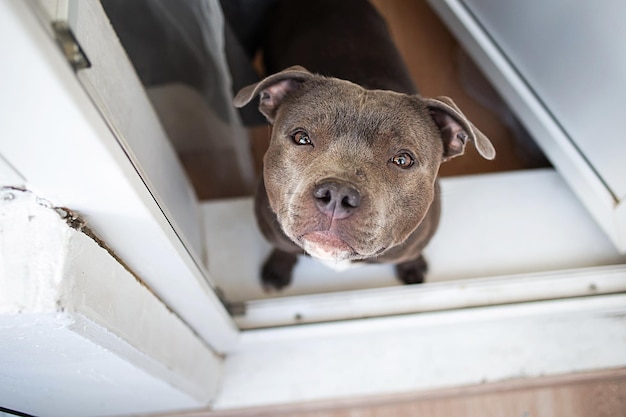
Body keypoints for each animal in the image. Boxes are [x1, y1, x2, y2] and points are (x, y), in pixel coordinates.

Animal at [233, 0, 492, 290]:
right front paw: (278, 269)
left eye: (403, 160)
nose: (336, 195)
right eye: (302, 138)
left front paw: (413, 266)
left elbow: (410, 254)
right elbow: (283, 248)